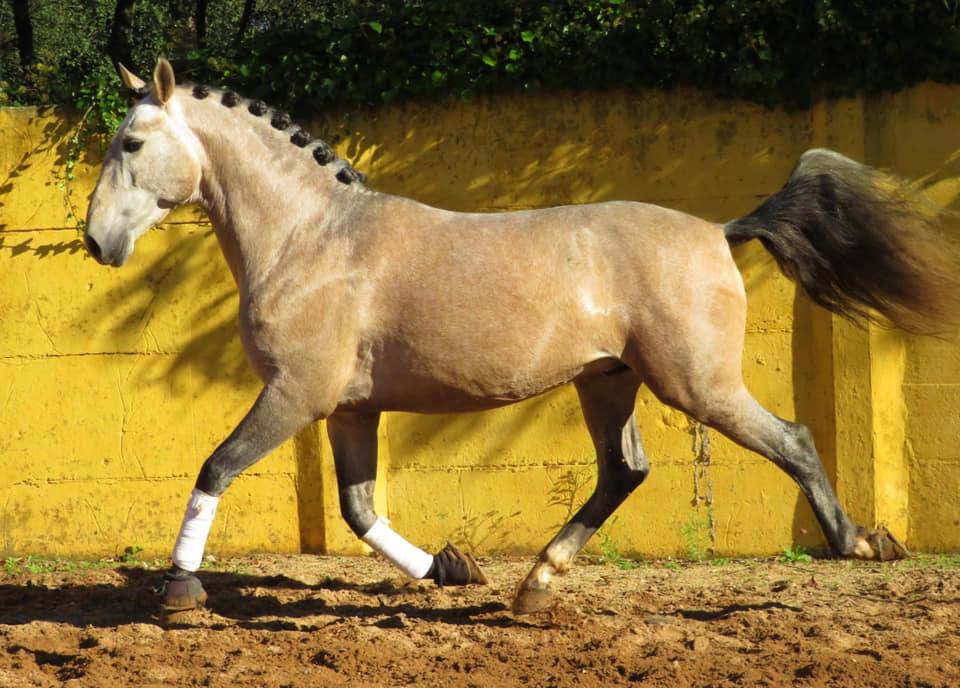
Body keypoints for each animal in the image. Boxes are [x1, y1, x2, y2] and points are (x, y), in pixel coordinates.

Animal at [85, 58, 960, 618]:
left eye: (131, 143)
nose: (97, 242)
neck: (313, 238)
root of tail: (720, 229)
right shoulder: (349, 409)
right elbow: (358, 511)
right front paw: (449, 569)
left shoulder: (296, 395)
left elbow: (218, 467)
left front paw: (179, 593)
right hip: (608, 382)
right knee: (624, 473)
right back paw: (534, 586)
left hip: (698, 384)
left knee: (793, 440)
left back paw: (857, 543)